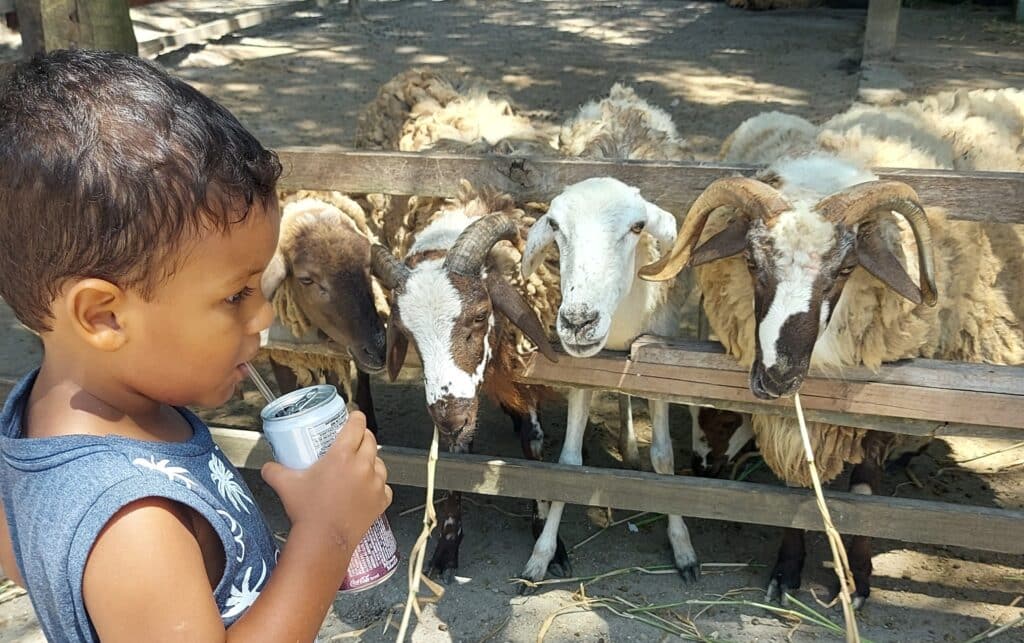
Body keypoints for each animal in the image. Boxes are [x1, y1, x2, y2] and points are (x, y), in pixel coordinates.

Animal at [260, 193, 387, 430]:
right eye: (306, 279)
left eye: (368, 266)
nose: (378, 349)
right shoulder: (281, 355)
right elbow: (288, 391)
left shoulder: (334, 355)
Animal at [370, 183, 565, 581]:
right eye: (408, 334)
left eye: (479, 316)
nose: (449, 419)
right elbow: (457, 462)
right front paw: (447, 547)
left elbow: (534, 445)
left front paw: (545, 535)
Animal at [638, 147, 1024, 606]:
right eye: (750, 262)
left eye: (845, 270)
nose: (779, 376)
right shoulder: (785, 421)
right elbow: (797, 485)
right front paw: (786, 573)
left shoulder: (880, 411)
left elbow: (865, 493)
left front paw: (857, 580)